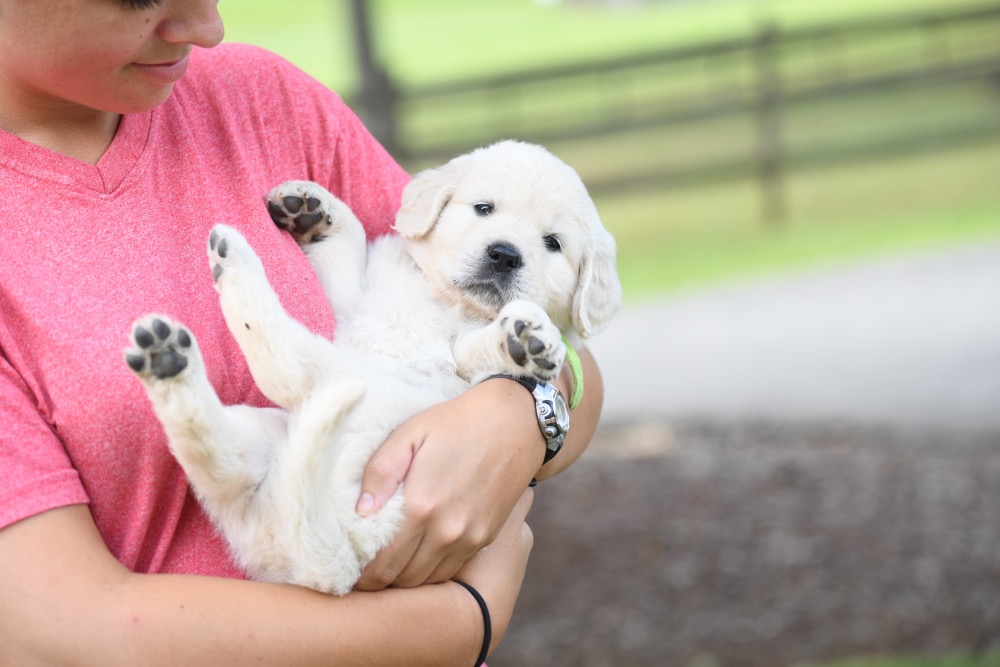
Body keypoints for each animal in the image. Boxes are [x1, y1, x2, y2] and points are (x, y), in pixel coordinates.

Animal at [125, 141, 620, 596]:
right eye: (484, 208)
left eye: (553, 243)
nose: (504, 254)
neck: (446, 298)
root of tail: (325, 565)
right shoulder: (353, 301)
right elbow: (349, 248)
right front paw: (313, 209)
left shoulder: (457, 365)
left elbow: (473, 350)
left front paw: (527, 337)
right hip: (258, 443)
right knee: (218, 457)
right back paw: (167, 360)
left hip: (349, 384)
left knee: (284, 365)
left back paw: (234, 264)